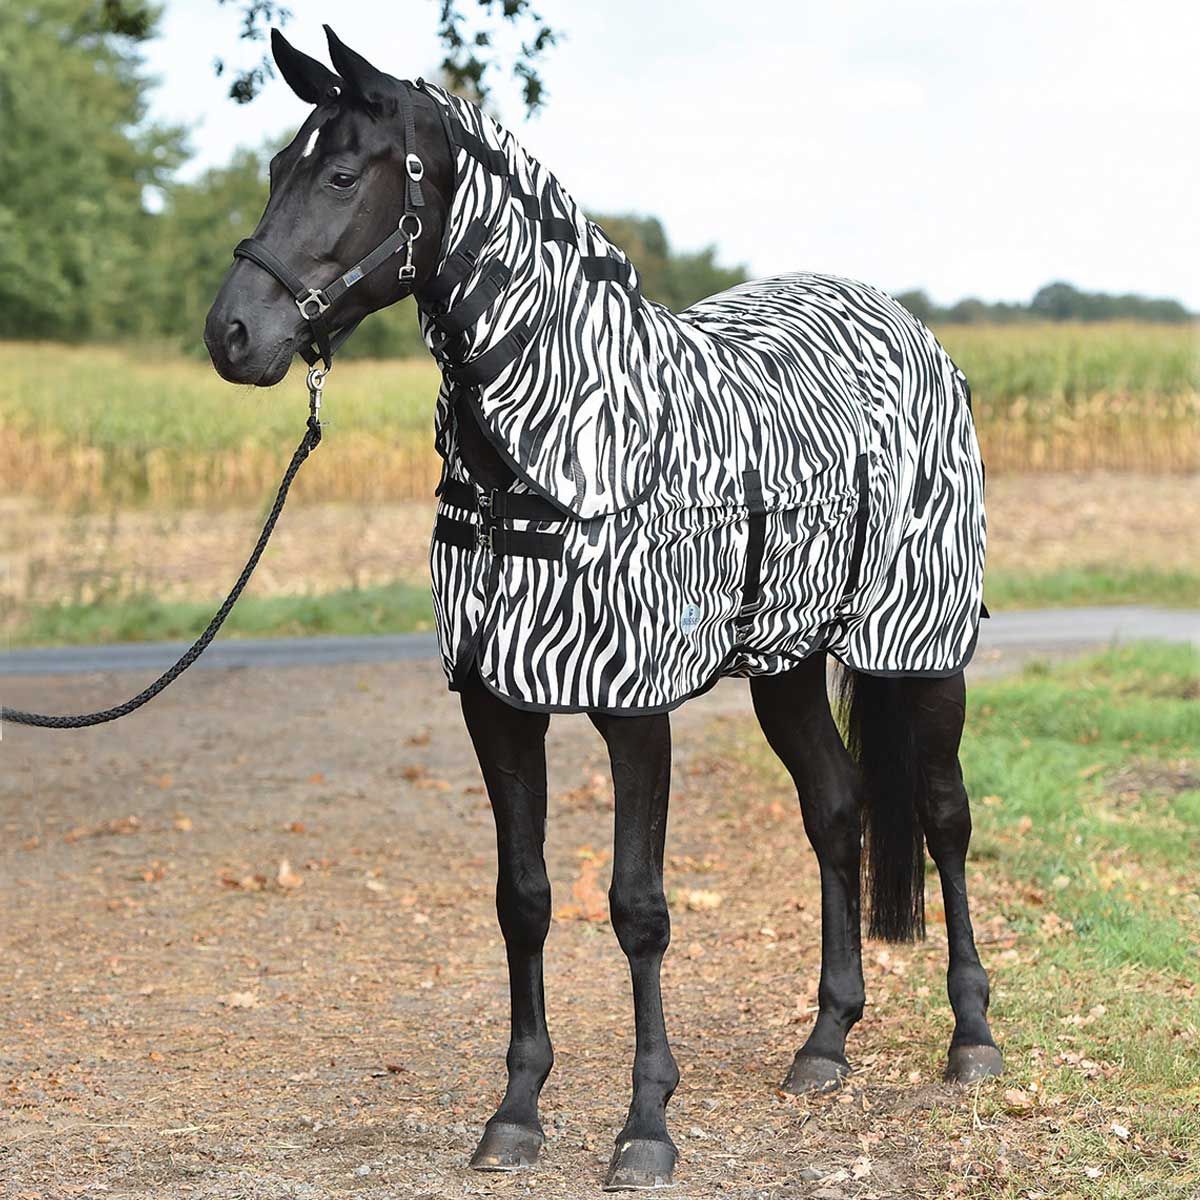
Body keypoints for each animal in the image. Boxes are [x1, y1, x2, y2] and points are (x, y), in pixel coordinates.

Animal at [204, 26, 1002, 1191]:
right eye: (273, 169)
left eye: (343, 175)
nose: (231, 336)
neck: (558, 447)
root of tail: (906, 328)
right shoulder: (496, 703)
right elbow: (524, 898)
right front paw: (516, 1114)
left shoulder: (636, 707)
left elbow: (637, 908)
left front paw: (646, 1127)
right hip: (786, 663)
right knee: (837, 811)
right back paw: (823, 1044)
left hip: (922, 647)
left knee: (944, 816)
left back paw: (973, 1037)